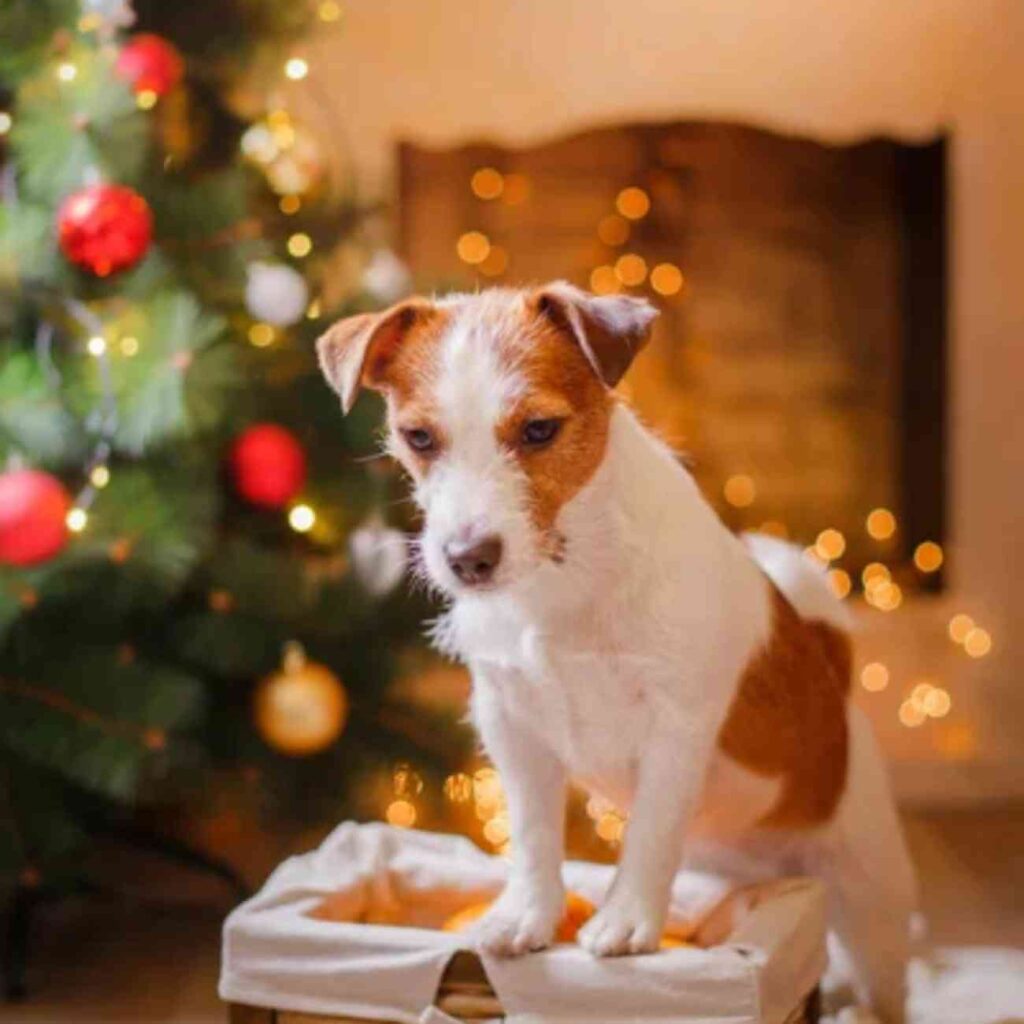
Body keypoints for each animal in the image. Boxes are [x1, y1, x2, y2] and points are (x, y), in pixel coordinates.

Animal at [315, 282, 917, 1024]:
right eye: (419, 438)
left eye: (539, 431)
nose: (467, 560)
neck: (565, 576)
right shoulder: (510, 725)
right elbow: (534, 832)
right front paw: (528, 914)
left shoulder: (676, 726)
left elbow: (650, 831)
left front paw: (627, 922)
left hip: (870, 899)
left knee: (884, 983)